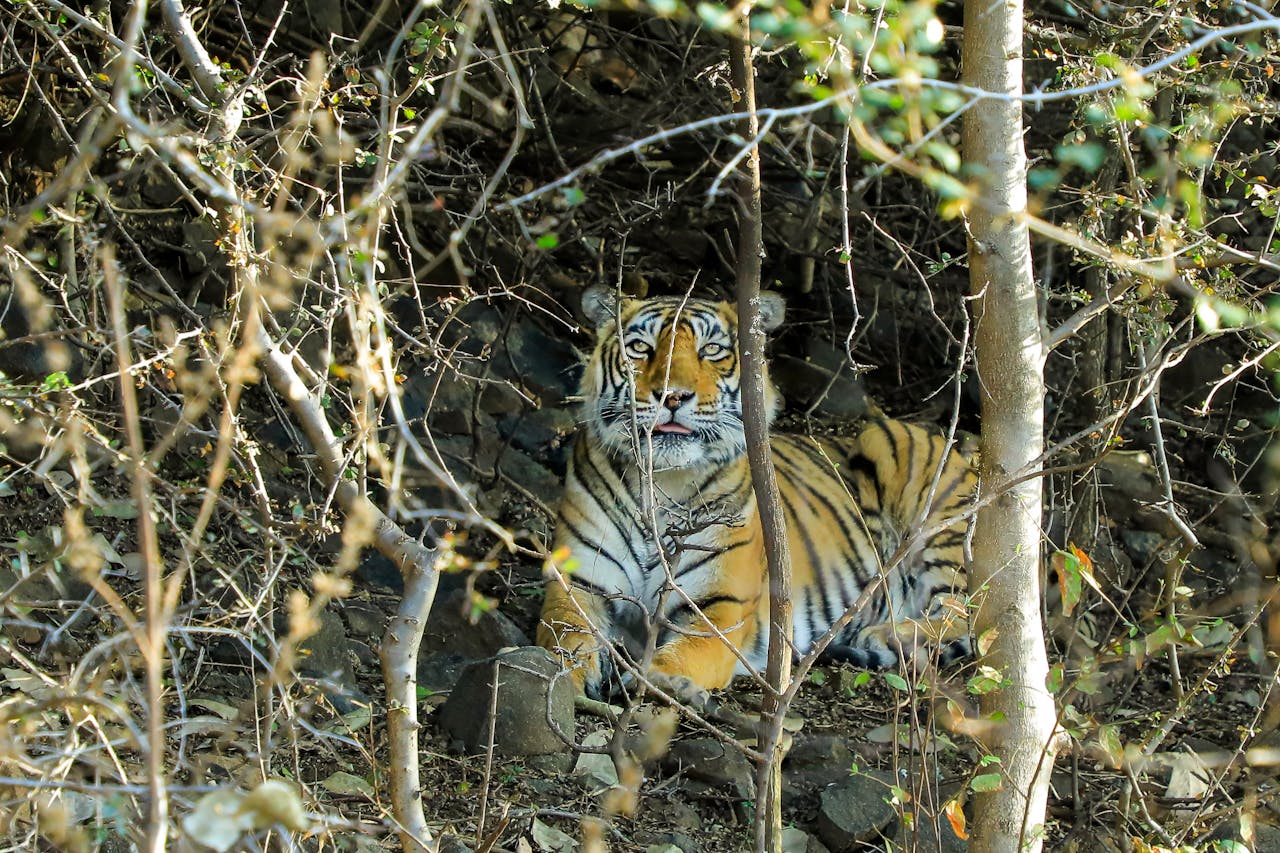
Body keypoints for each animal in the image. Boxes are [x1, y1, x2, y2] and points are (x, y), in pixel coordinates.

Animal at [536, 285, 977, 699]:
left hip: (899, 458)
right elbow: (562, 641)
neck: (663, 483)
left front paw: (658, 682)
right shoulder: (576, 586)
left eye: (712, 350)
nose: (672, 395)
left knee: (967, 613)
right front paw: (561, 682)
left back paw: (880, 635)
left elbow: (680, 655)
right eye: (640, 348)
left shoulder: (720, 607)